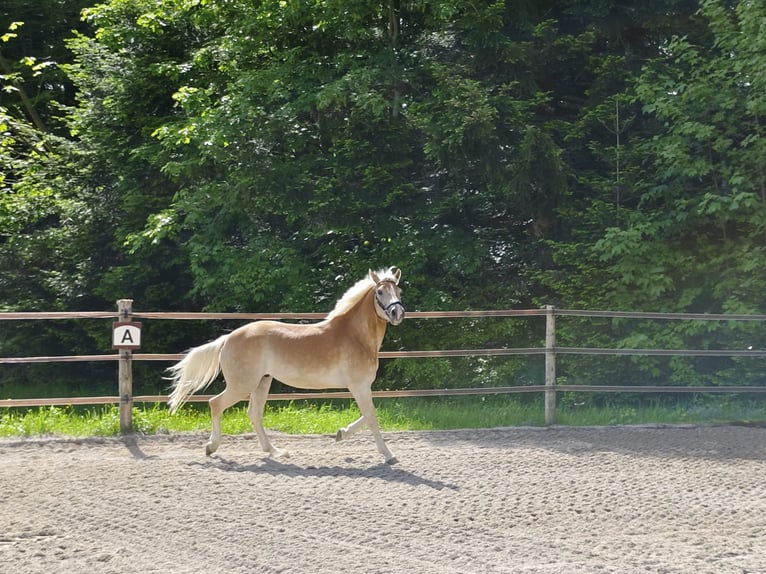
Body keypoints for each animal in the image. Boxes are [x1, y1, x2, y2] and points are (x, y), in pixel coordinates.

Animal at [168, 268, 408, 466]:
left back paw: (275, 451)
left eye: (399, 291)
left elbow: (370, 414)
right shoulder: (358, 386)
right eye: (380, 293)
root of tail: (228, 339)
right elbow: (371, 416)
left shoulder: (361, 387)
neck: (355, 336)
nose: (397, 313)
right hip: (242, 385)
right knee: (215, 404)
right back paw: (211, 447)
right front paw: (389, 455)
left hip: (262, 382)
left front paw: (340, 433)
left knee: (254, 413)